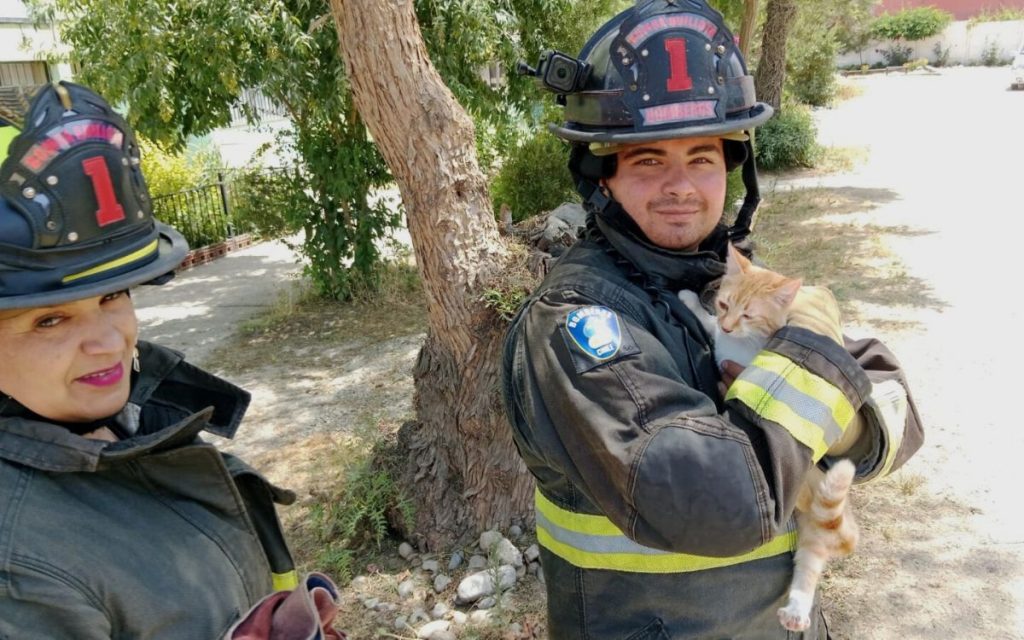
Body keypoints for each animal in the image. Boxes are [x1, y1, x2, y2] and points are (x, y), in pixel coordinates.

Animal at [679, 243, 856, 630]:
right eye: (725, 304)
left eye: (748, 315)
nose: (729, 324)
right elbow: (712, 327)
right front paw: (696, 304)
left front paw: (690, 303)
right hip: (813, 526)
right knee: (808, 563)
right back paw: (796, 612)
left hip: (818, 512)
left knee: (810, 560)